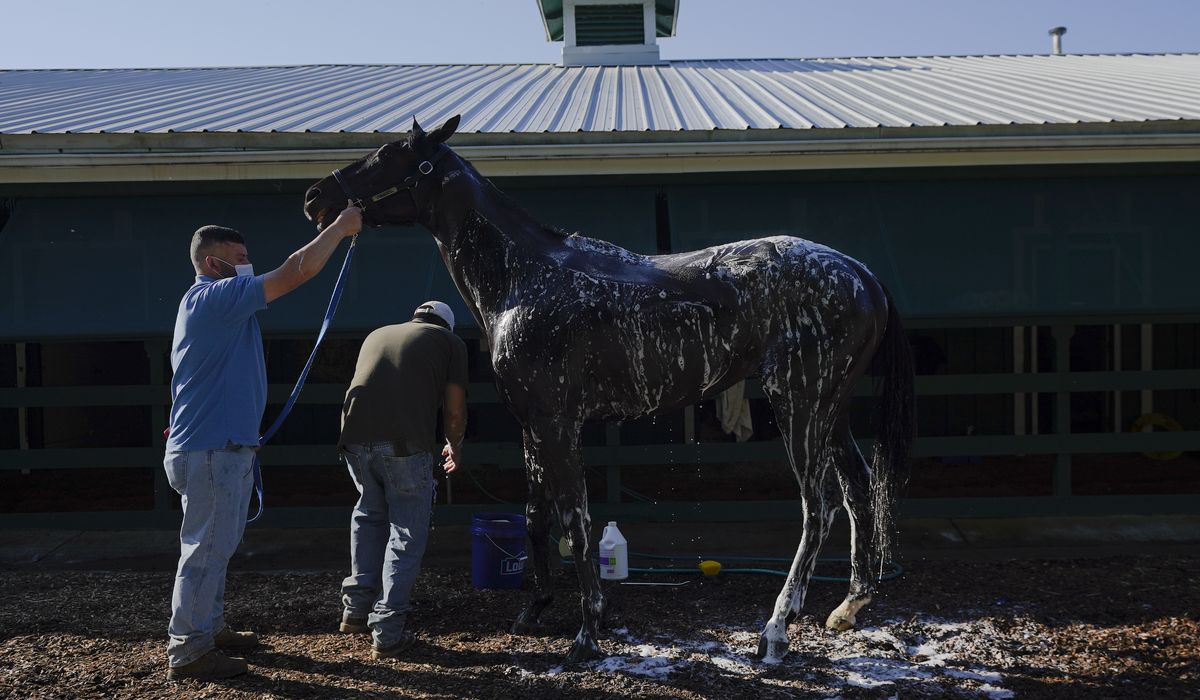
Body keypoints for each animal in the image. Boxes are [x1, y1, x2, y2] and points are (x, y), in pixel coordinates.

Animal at [304, 115, 912, 662]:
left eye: (389, 154)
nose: (316, 197)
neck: (524, 278)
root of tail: (860, 273)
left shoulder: (557, 425)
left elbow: (577, 522)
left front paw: (586, 634)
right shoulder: (533, 426)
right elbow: (537, 516)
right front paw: (533, 611)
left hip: (800, 404)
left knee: (819, 507)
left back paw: (776, 631)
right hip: (830, 409)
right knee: (859, 490)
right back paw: (847, 609)